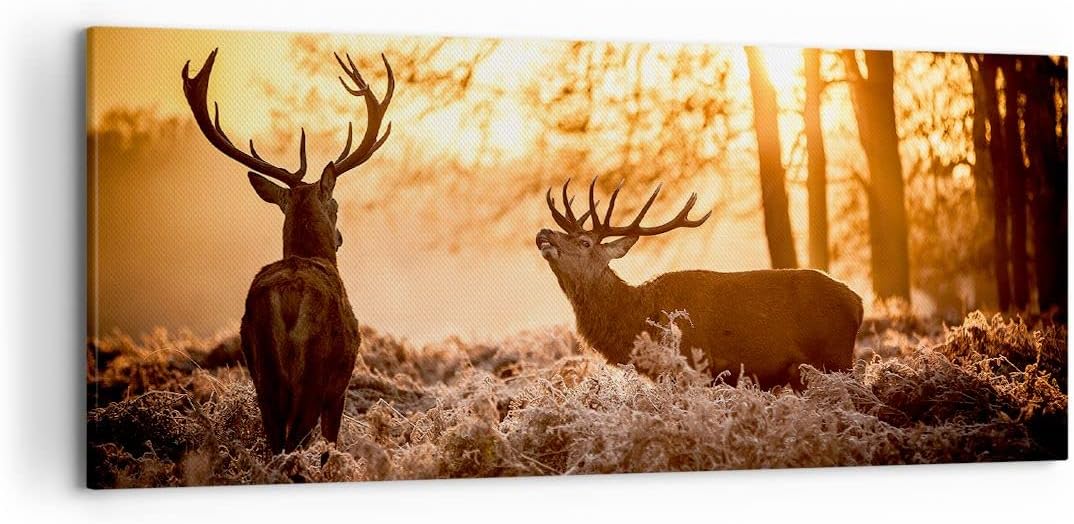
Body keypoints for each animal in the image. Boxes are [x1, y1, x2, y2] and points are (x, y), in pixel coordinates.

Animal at [181, 49, 394, 452]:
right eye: (336, 205)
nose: (340, 236)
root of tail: (289, 297)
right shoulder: (340, 385)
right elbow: (330, 445)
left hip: (262, 370)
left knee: (274, 442)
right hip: (314, 373)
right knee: (294, 441)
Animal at [537, 178, 863, 389]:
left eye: (585, 242)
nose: (544, 233)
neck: (638, 319)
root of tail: (857, 303)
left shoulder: (694, 366)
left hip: (836, 357)